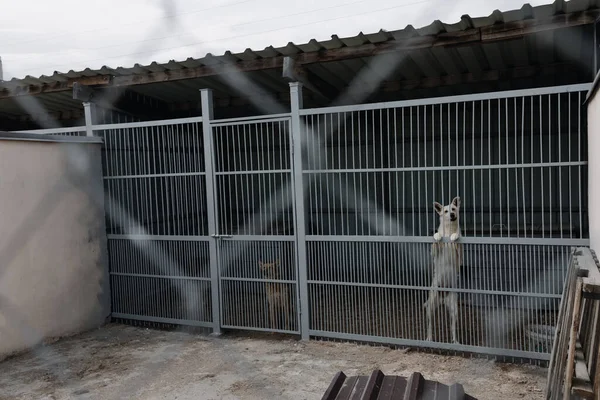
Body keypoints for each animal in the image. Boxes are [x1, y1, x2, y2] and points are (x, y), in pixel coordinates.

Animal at [422, 197, 464, 344]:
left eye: (454, 209)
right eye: (445, 211)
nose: (452, 215)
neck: (449, 229)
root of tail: (442, 299)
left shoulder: (459, 257)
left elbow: (457, 239)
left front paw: (454, 236)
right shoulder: (434, 252)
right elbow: (436, 240)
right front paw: (437, 236)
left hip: (454, 310)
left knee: (453, 328)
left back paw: (455, 341)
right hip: (430, 307)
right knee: (429, 325)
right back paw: (429, 338)